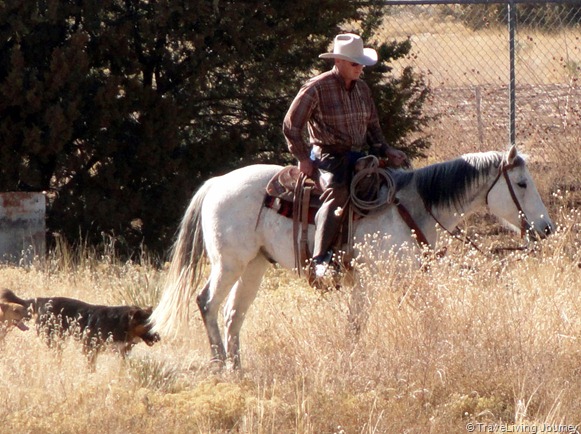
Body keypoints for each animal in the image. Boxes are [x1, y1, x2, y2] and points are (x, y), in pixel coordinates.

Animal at [0, 288, 159, 366]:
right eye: (148, 325)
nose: (158, 338)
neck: (120, 323)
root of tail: (42, 300)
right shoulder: (90, 350)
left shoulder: (122, 354)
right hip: (53, 340)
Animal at [148, 147, 552, 370]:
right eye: (521, 184)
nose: (545, 229)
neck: (414, 207)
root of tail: (216, 182)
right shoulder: (369, 280)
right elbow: (356, 326)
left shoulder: (407, 279)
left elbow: (428, 315)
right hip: (228, 264)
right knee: (207, 303)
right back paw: (218, 364)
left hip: (254, 266)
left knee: (233, 314)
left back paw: (237, 367)